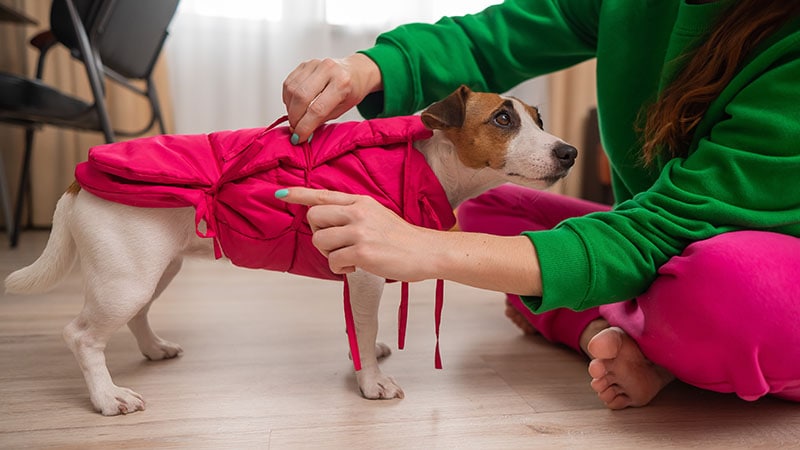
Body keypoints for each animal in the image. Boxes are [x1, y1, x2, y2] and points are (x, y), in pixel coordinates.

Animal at [1, 84, 576, 414]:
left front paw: (365, 358)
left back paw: (153, 348)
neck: (427, 162)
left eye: (539, 119)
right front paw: (371, 382)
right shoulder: (366, 273)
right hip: (127, 277)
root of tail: (79, 179)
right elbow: (364, 325)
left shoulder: (355, 269)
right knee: (82, 337)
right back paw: (106, 397)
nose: (569, 152)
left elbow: (357, 326)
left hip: (153, 270)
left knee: (136, 316)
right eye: (502, 120)